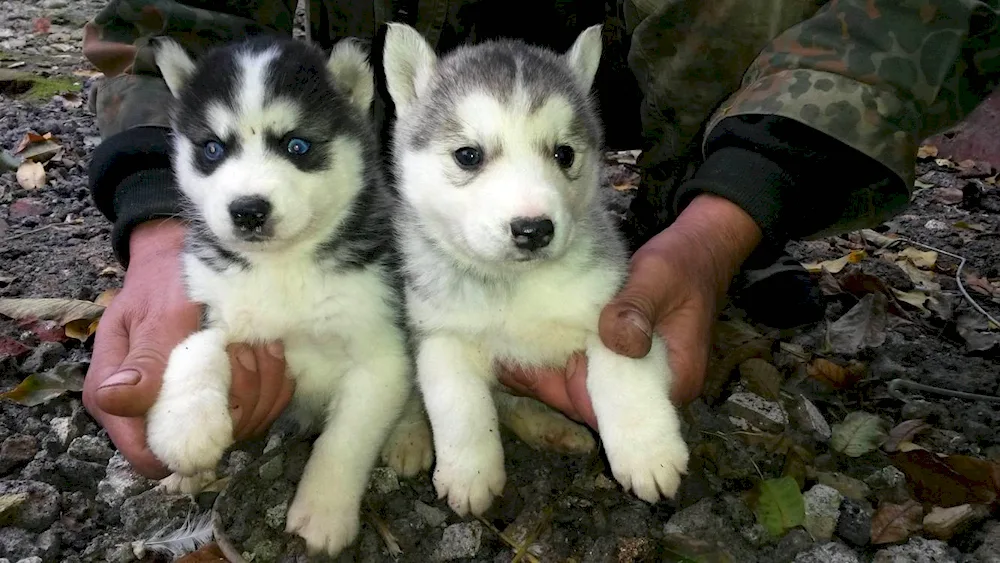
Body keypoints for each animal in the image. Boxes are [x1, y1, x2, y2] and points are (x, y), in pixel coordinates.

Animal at [380, 23, 688, 520]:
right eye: (468, 155)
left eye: (564, 154)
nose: (533, 229)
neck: (516, 285)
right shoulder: (441, 334)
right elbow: (458, 404)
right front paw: (469, 472)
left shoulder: (611, 311)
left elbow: (621, 374)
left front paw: (647, 452)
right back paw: (407, 436)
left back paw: (554, 428)